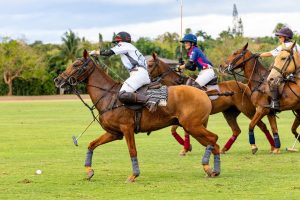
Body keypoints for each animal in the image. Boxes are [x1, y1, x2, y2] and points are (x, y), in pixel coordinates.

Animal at [54, 50, 223, 181]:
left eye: (76, 65)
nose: (57, 80)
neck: (108, 96)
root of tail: (204, 93)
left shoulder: (127, 128)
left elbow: (132, 151)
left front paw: (134, 175)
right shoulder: (114, 133)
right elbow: (91, 144)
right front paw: (89, 171)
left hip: (192, 125)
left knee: (213, 138)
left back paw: (208, 166)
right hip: (192, 126)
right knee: (213, 143)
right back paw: (213, 170)